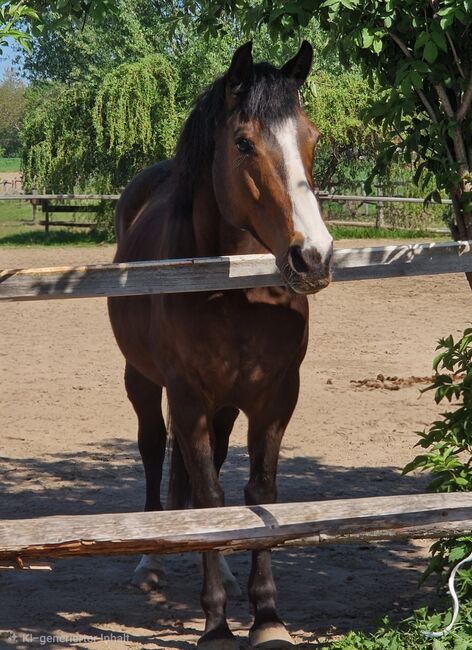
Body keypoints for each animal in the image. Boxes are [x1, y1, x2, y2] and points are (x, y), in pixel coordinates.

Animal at [108, 41, 333, 649]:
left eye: (312, 137)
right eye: (243, 143)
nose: (314, 257)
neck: (234, 289)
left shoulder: (275, 398)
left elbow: (260, 495)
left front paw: (267, 615)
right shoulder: (186, 396)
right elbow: (207, 496)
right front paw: (214, 626)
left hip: (227, 405)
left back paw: (226, 570)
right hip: (143, 382)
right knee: (154, 449)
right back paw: (150, 563)